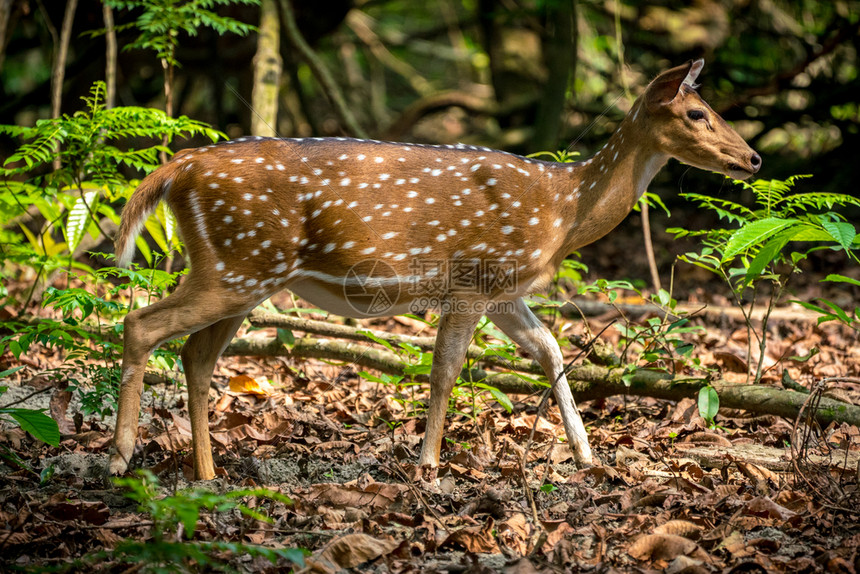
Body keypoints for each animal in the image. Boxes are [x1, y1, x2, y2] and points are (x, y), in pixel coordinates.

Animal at [107, 59, 760, 482]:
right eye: (697, 113)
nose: (753, 158)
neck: (563, 208)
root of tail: (179, 166)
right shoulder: (473, 276)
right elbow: (445, 368)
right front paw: (428, 465)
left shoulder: (504, 289)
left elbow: (551, 349)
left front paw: (587, 457)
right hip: (238, 264)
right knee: (141, 324)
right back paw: (119, 457)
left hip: (243, 271)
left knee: (195, 355)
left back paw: (206, 474)